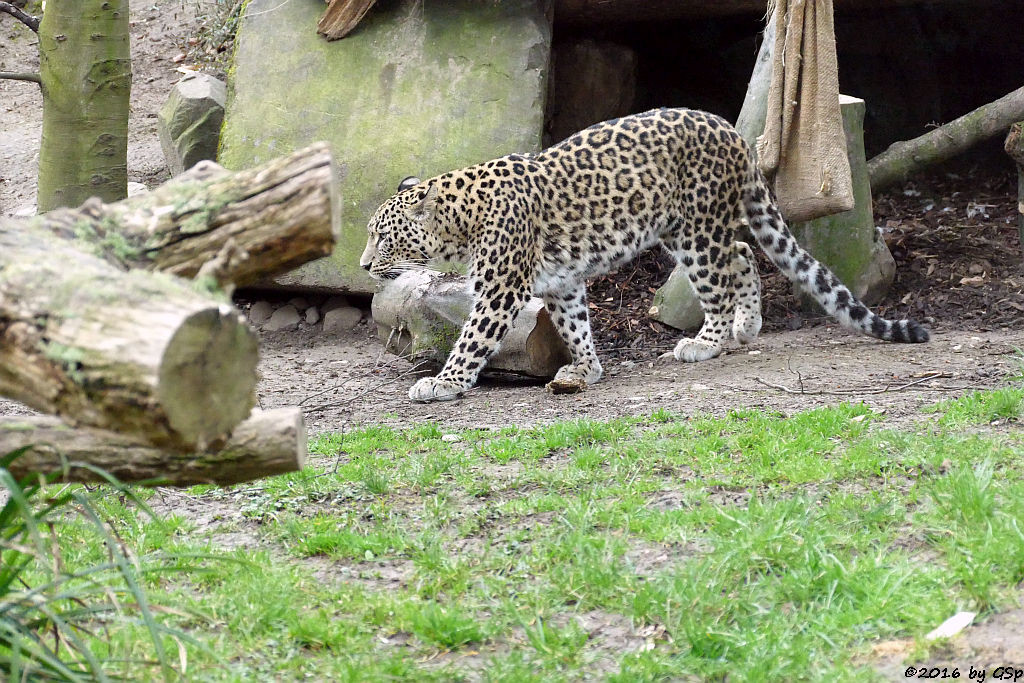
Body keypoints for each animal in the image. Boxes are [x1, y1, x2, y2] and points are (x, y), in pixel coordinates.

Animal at [360, 109, 929, 403]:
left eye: (384, 237)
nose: (364, 266)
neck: (462, 220)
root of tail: (733, 131)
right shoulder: (562, 282)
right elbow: (574, 324)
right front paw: (585, 369)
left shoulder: (501, 290)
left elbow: (472, 339)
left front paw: (443, 382)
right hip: (681, 228)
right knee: (742, 253)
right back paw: (746, 327)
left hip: (696, 229)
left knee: (719, 280)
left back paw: (706, 343)